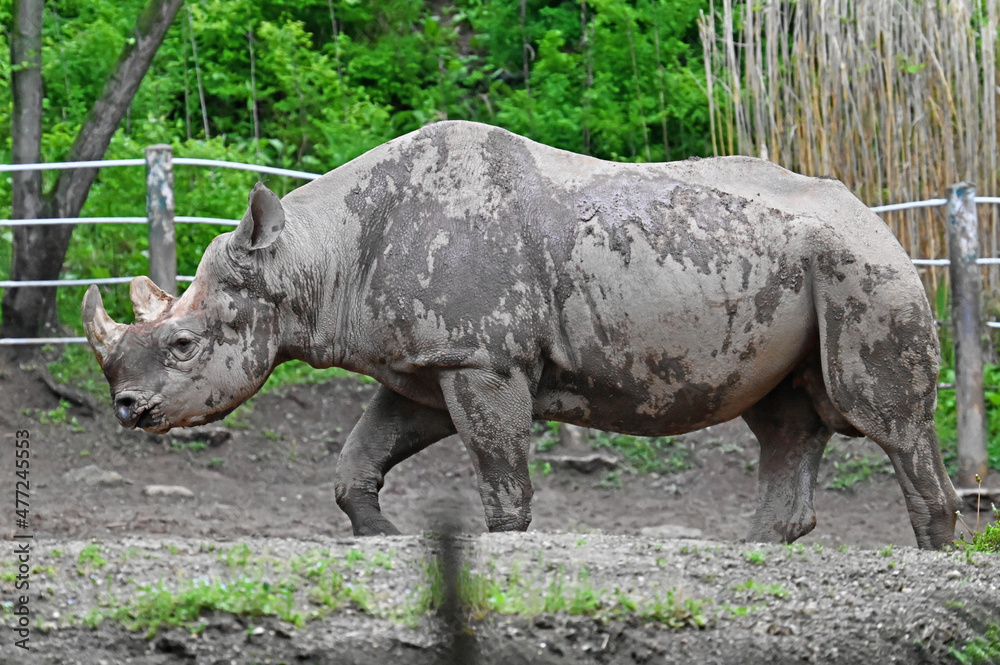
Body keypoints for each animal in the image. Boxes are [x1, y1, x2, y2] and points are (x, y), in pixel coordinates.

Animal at [82, 120, 961, 549]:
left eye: (185, 346)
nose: (126, 409)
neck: (316, 257)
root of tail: (877, 214)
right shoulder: (426, 362)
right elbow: (357, 459)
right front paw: (380, 536)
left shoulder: (483, 357)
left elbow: (503, 478)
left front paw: (500, 542)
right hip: (804, 266)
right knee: (782, 420)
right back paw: (754, 549)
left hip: (864, 267)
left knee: (886, 419)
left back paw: (932, 550)